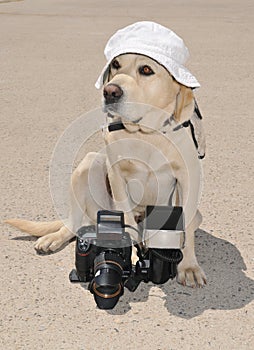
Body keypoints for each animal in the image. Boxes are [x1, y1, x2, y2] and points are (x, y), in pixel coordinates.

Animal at [4, 23, 206, 288]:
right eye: (116, 65)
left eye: (146, 69)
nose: (110, 92)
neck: (146, 133)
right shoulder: (117, 174)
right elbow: (126, 220)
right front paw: (131, 258)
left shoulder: (188, 177)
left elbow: (186, 225)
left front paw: (189, 266)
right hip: (88, 166)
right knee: (74, 223)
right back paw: (54, 238)